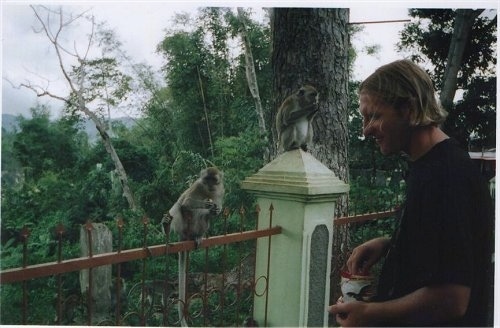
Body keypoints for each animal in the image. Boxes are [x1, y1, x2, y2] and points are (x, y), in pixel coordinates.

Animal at [161, 168, 224, 326]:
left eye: (214, 180)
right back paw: (166, 226)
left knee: (204, 217)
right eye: (207, 179)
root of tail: (185, 236)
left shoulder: (220, 191)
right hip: (182, 227)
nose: (210, 185)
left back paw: (198, 236)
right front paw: (207, 205)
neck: (207, 192)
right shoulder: (197, 186)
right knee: (181, 206)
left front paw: (217, 210)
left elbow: (215, 210)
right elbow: (187, 203)